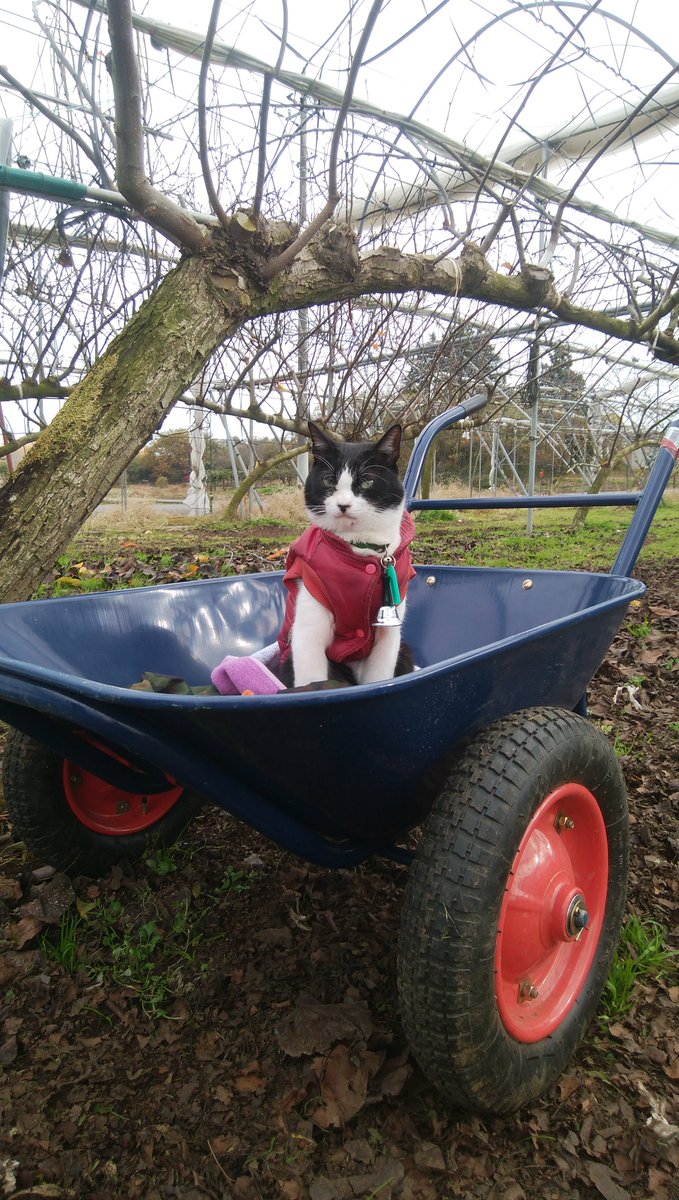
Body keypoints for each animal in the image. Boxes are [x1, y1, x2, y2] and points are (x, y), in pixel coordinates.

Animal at [278, 420, 417, 686]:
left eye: (367, 482)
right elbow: (312, 680)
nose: (343, 505)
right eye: (328, 481)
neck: (360, 548)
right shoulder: (308, 625)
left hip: (404, 649)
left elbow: (379, 677)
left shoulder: (389, 631)